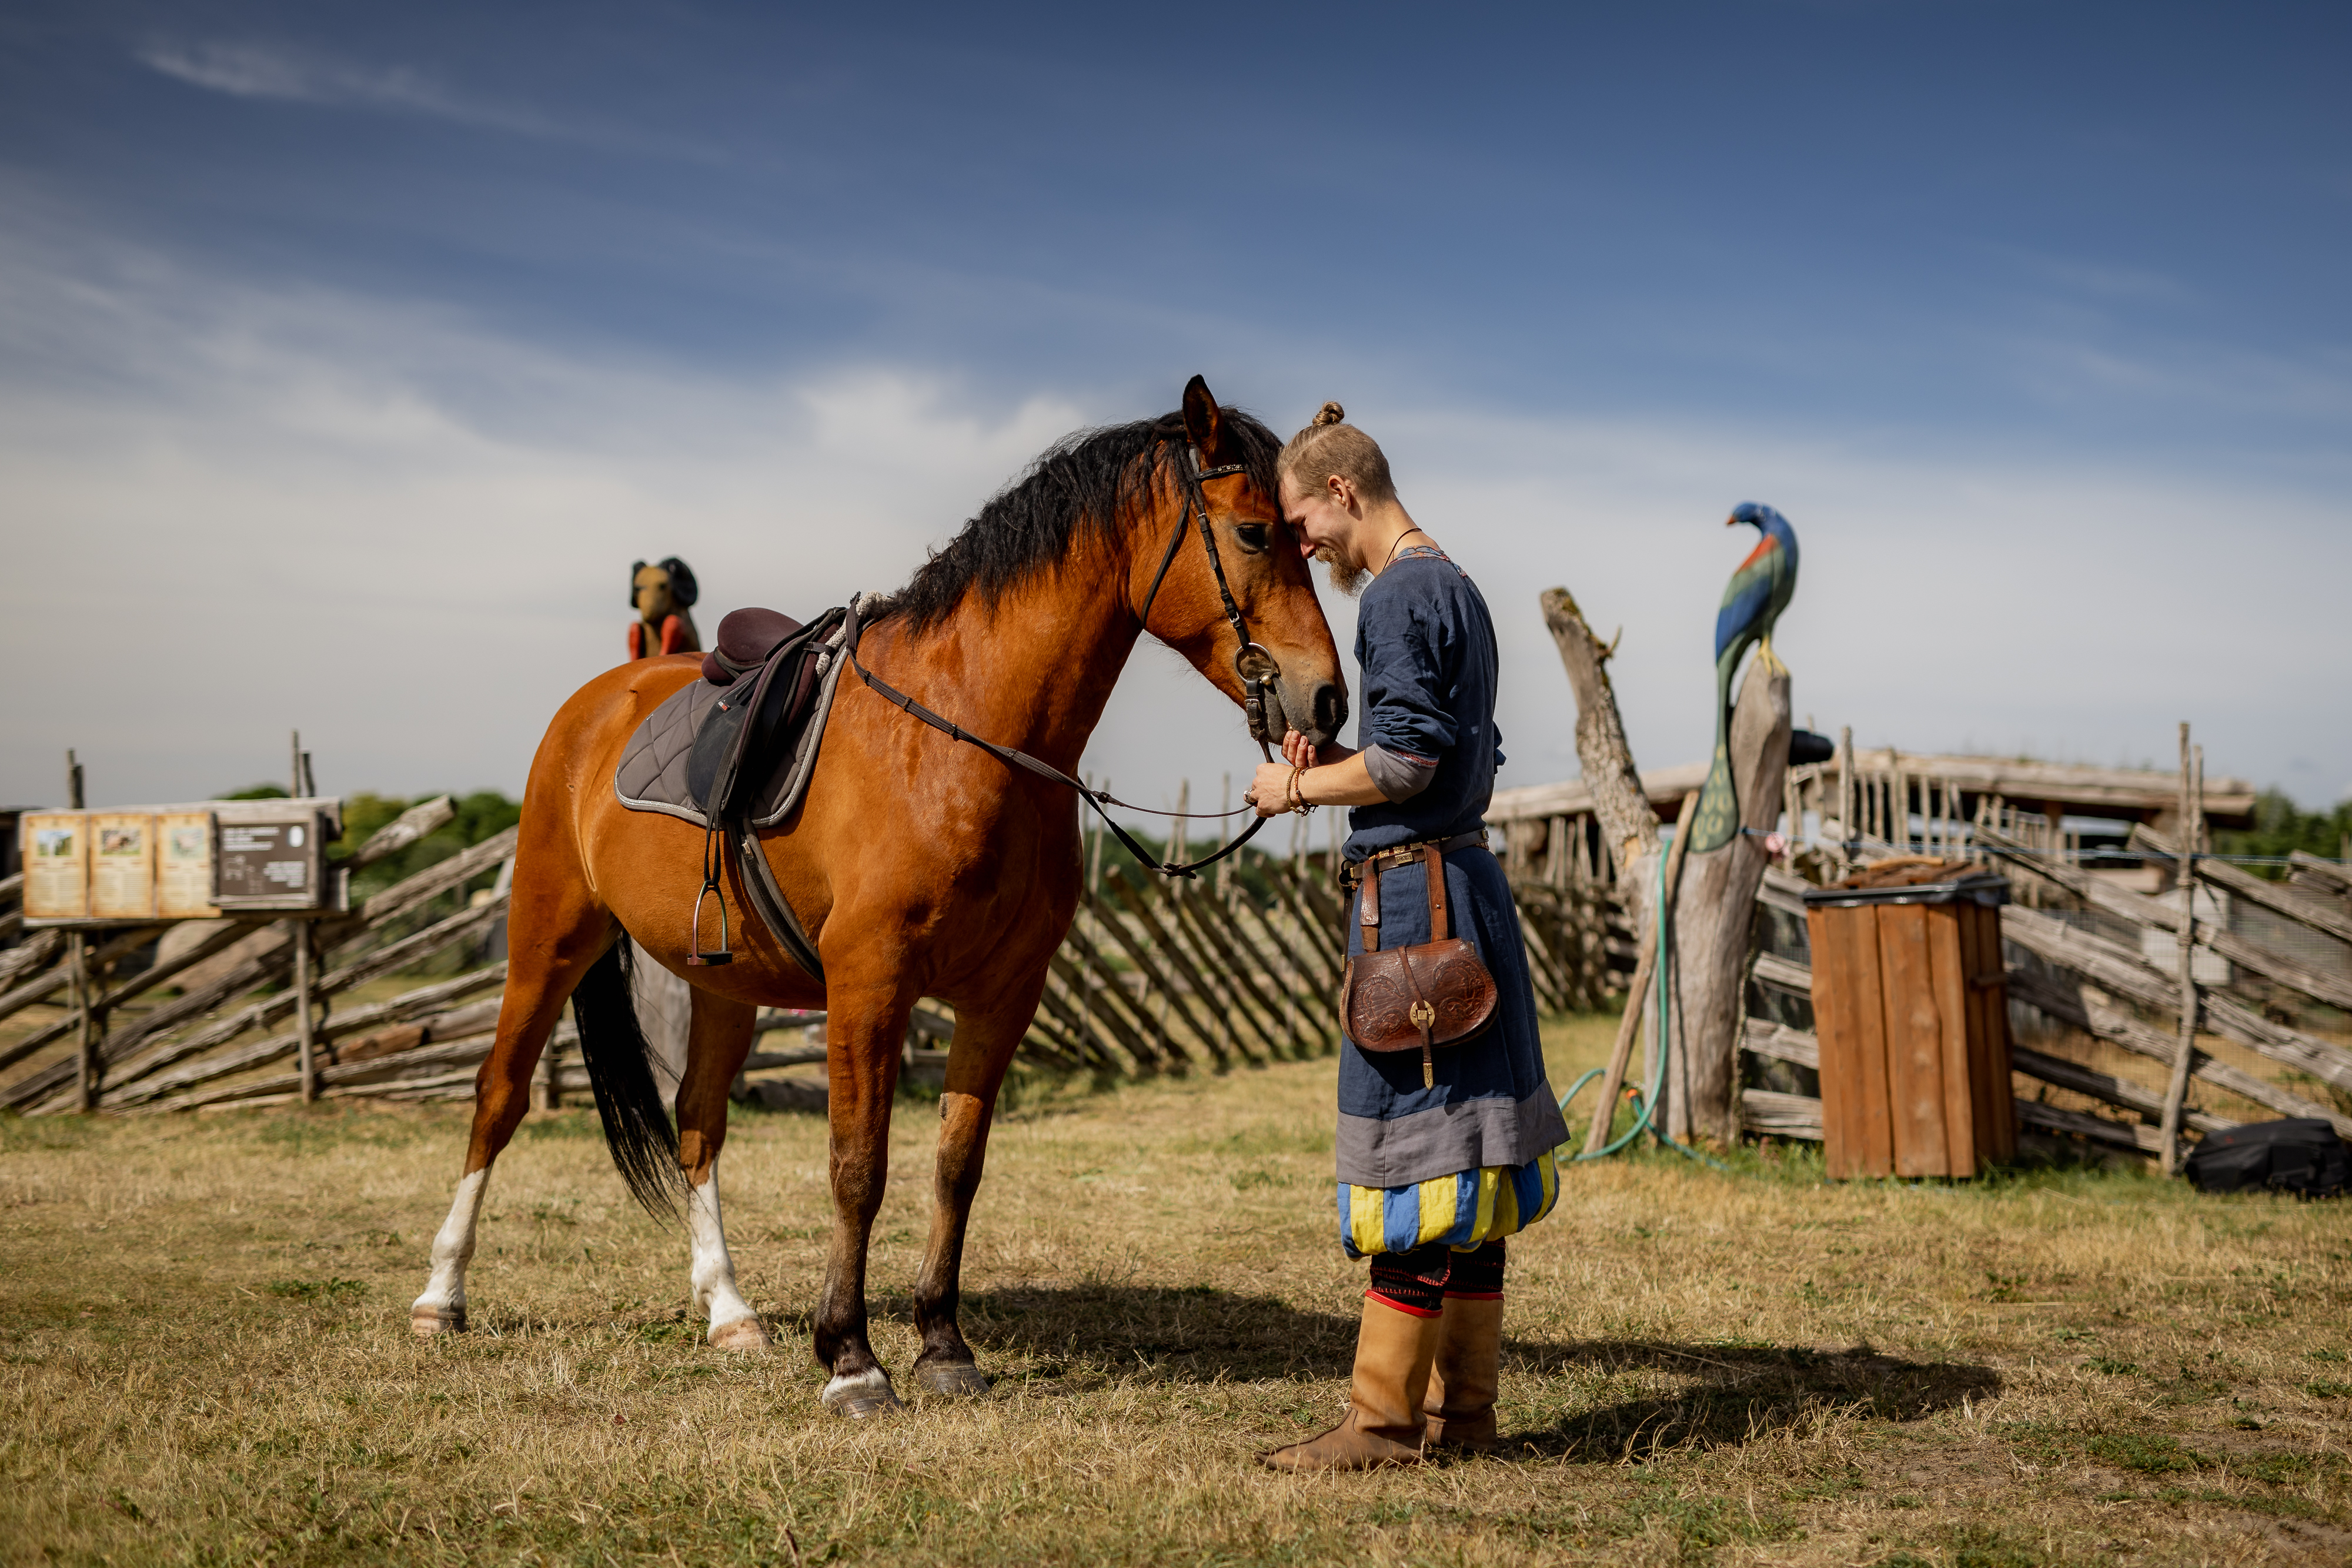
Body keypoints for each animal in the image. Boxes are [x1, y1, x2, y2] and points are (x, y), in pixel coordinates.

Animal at [405, 383, 1345, 1420]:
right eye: (1255, 530)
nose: (1327, 700)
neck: (963, 733)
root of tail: (596, 703)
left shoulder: (1003, 994)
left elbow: (955, 1165)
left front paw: (942, 1343)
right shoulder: (869, 985)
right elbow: (859, 1167)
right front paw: (852, 1358)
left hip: (723, 983)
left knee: (698, 1122)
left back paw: (728, 1309)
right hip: (549, 934)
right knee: (499, 1096)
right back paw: (442, 1295)